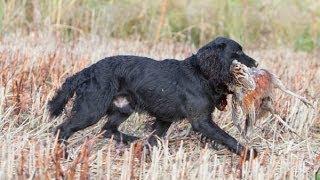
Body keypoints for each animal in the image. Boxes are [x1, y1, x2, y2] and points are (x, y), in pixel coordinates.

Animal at [48, 37, 258, 158]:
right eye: (237, 52)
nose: (256, 63)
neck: (201, 73)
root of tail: (88, 71)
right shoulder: (201, 121)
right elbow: (227, 137)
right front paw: (249, 153)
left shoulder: (164, 119)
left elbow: (153, 140)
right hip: (91, 109)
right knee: (62, 129)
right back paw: (63, 155)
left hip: (123, 108)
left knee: (108, 130)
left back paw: (133, 140)